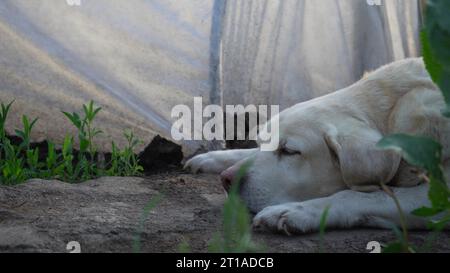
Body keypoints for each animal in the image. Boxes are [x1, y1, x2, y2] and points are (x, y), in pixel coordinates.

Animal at [184, 58, 450, 234]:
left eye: (290, 152)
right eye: (261, 143)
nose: (226, 179)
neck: (389, 111)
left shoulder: (439, 197)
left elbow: (357, 195)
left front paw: (296, 211)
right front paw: (212, 157)